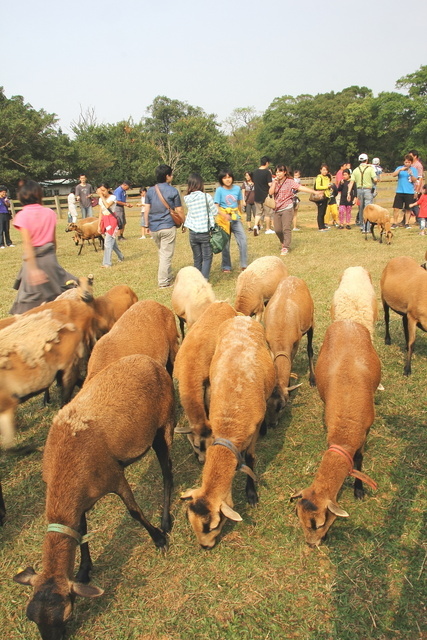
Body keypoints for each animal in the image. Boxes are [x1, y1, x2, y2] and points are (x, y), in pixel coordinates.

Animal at [13, 352, 174, 640]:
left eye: (67, 614)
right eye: (31, 617)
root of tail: (148, 360)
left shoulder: (114, 476)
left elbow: (134, 511)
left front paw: (158, 538)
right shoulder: (79, 502)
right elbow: (81, 531)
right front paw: (84, 569)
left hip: (162, 424)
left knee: (167, 472)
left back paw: (166, 520)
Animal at [175, 300, 241, 460]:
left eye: (211, 443)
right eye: (197, 445)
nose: (201, 461)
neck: (190, 367)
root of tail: (223, 303)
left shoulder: (208, 384)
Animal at [181, 318, 276, 548]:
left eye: (214, 525)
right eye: (189, 519)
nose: (205, 547)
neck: (229, 425)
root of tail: (243, 318)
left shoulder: (252, 431)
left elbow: (250, 459)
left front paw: (251, 494)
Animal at [266, 274, 316, 428]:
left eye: (282, 406)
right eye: (266, 407)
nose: (272, 424)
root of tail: (294, 277)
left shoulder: (295, 343)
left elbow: (292, 362)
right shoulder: (269, 344)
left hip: (311, 322)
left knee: (310, 349)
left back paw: (313, 379)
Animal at [290, 322, 382, 548]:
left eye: (320, 524)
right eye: (299, 518)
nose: (311, 545)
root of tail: (347, 321)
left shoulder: (364, 433)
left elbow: (359, 460)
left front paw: (359, 490)